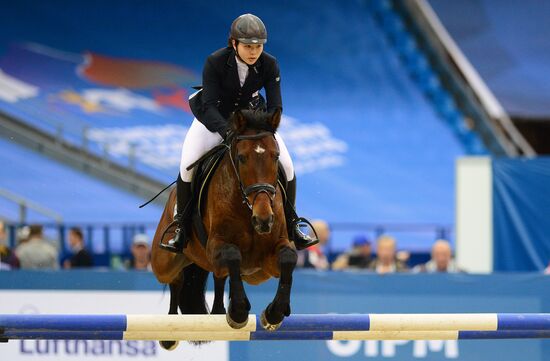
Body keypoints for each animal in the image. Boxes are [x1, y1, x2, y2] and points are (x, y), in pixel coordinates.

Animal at [151, 109, 298, 348]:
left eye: (276, 157)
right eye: (242, 158)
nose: (264, 220)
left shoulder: (265, 265)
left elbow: (288, 258)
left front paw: (274, 314)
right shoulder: (216, 245)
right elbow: (232, 254)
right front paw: (238, 312)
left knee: (219, 275)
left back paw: (219, 311)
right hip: (163, 262)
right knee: (175, 279)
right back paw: (170, 333)